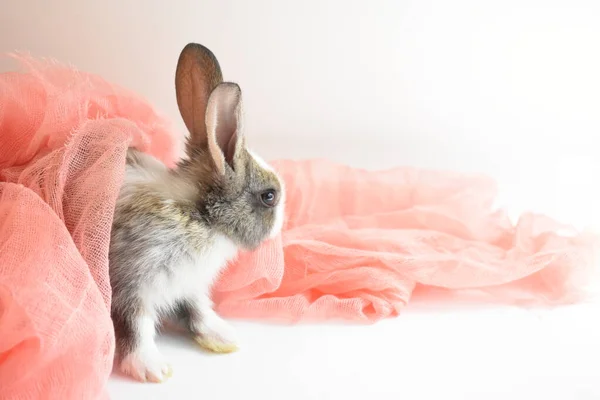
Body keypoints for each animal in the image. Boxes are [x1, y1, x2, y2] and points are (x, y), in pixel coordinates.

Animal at [108, 42, 286, 382]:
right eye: (269, 196)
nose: (283, 223)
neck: (199, 216)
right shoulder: (130, 285)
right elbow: (136, 327)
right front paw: (152, 368)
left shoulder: (187, 285)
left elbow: (198, 310)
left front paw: (224, 336)